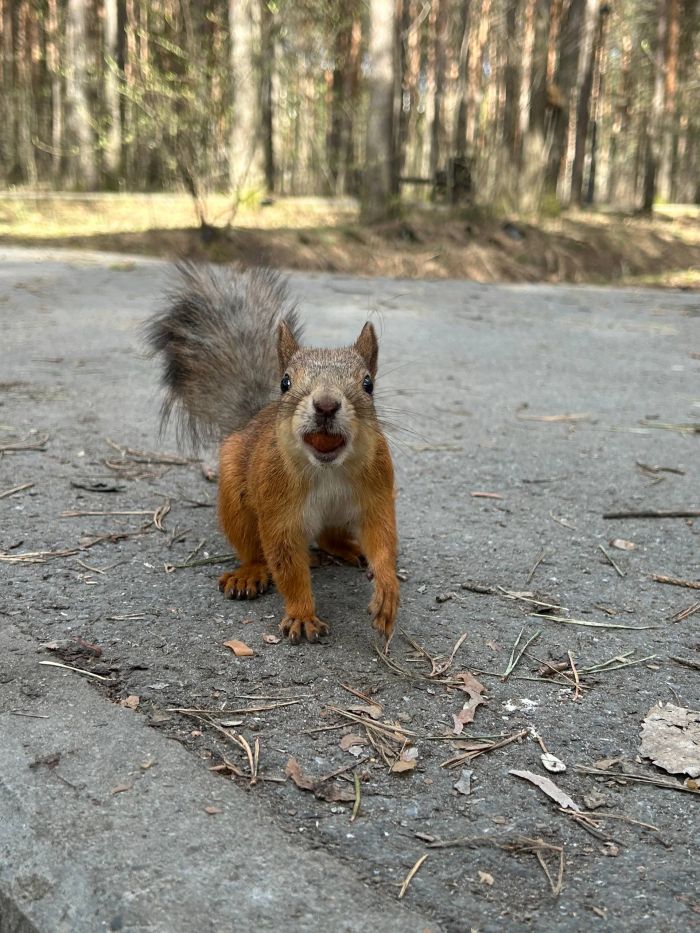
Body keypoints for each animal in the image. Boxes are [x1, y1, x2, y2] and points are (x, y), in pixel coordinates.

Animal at [146, 263, 399, 644]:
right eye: (285, 382)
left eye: (368, 383)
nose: (326, 404)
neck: (327, 469)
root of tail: (252, 420)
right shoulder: (278, 507)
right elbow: (286, 564)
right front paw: (302, 615)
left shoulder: (377, 492)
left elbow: (382, 539)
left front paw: (387, 590)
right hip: (236, 499)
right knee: (255, 548)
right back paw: (249, 572)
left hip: (340, 515)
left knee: (328, 536)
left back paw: (349, 548)